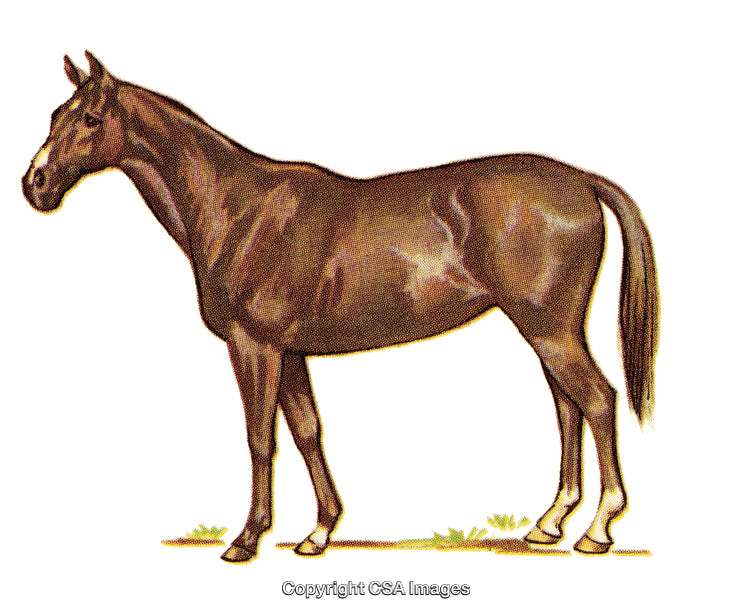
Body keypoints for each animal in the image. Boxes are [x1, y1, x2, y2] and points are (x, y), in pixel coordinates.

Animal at [22, 52, 658, 562]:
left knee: (597, 401)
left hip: (550, 329)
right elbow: (308, 432)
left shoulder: (254, 348)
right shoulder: (289, 352)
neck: (237, 208)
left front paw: (245, 540)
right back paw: (549, 524)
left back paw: (598, 529)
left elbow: (260, 438)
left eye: (88, 119)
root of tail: (579, 180)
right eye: (55, 114)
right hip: (544, 330)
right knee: (567, 407)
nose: (36, 184)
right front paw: (320, 532)